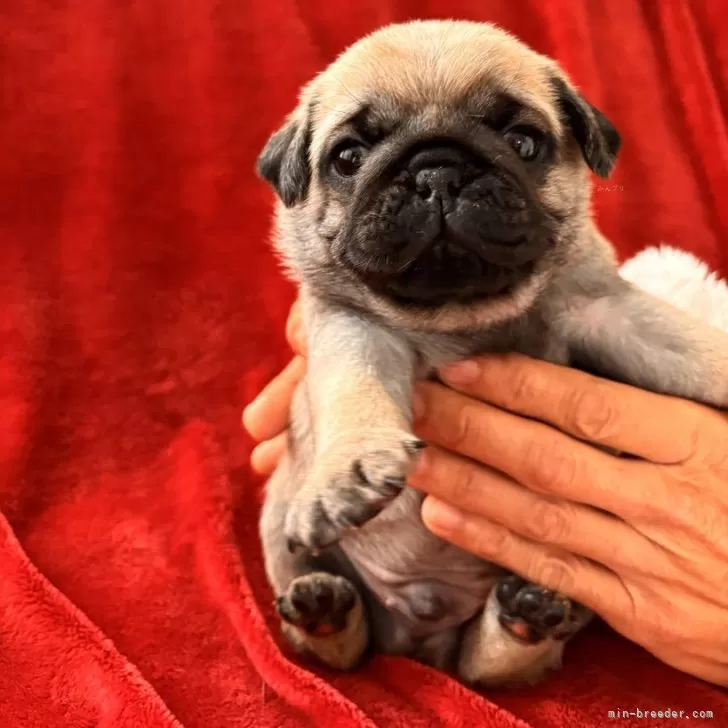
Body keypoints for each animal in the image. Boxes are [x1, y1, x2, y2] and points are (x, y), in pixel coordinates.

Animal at [255, 18, 728, 688]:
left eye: (524, 142)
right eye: (348, 157)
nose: (437, 172)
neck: (463, 316)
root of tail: (423, 642)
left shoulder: (601, 308)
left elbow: (686, 344)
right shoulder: (352, 329)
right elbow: (355, 391)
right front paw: (348, 469)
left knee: (487, 665)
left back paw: (524, 617)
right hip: (278, 521)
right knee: (344, 647)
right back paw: (323, 608)